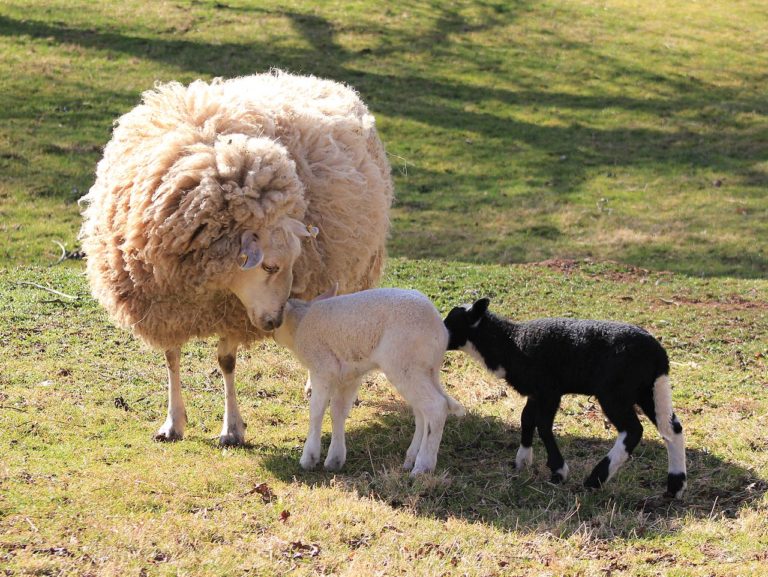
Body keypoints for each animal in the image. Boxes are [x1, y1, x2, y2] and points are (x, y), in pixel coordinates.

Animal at [80, 68, 392, 446]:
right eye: (270, 265)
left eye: (292, 264)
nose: (274, 322)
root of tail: (318, 79)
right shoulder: (166, 305)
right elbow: (171, 357)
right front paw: (173, 422)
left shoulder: (234, 311)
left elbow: (226, 362)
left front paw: (231, 428)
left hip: (355, 271)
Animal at [276, 286, 468, 474]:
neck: (299, 322)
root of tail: (439, 330)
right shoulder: (349, 375)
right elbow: (338, 411)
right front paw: (334, 460)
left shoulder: (322, 369)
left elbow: (316, 411)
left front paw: (309, 458)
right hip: (423, 370)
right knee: (423, 412)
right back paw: (411, 459)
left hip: (405, 364)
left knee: (436, 407)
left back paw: (423, 467)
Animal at [444, 300, 688, 498]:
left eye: (450, 322)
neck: (511, 343)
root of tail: (659, 356)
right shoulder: (537, 392)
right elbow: (526, 419)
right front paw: (522, 461)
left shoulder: (549, 390)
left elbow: (542, 425)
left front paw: (558, 471)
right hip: (648, 389)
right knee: (673, 428)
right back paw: (675, 486)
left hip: (615, 392)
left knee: (633, 430)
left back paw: (595, 480)